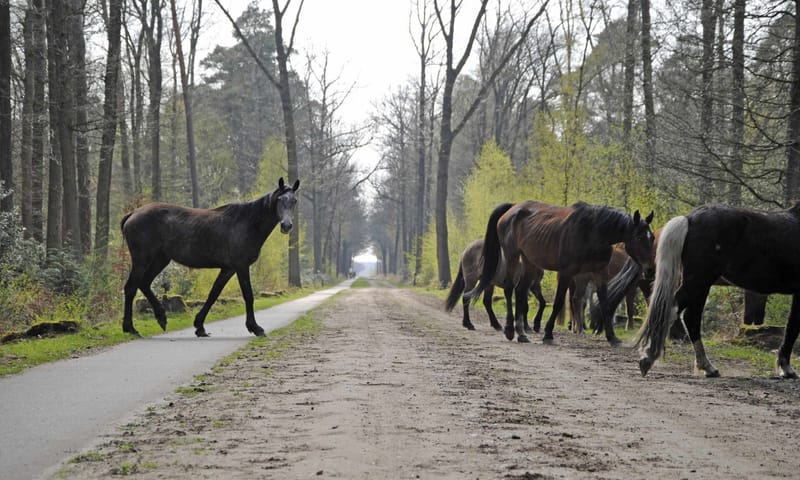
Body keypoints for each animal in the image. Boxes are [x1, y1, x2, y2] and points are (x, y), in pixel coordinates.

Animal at [120, 178, 300, 338]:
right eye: (280, 199)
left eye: (294, 201)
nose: (286, 225)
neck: (248, 223)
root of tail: (133, 213)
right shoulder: (241, 266)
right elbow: (248, 295)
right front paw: (255, 328)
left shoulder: (228, 269)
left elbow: (213, 294)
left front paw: (199, 326)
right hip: (142, 259)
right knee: (131, 287)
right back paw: (131, 328)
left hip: (160, 259)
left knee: (144, 283)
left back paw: (160, 318)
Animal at [468, 201, 654, 345]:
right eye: (639, 237)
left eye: (652, 237)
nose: (651, 270)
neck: (592, 231)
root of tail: (512, 209)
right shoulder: (567, 273)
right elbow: (558, 303)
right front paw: (548, 334)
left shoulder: (599, 273)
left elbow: (605, 304)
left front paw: (612, 337)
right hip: (512, 256)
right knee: (509, 289)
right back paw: (509, 330)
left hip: (529, 261)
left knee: (520, 291)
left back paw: (521, 333)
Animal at [637, 203, 800, 378]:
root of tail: (689, 219)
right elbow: (792, 328)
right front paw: (786, 368)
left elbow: (792, 327)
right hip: (698, 280)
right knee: (673, 310)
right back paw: (648, 357)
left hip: (702, 285)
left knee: (691, 318)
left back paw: (707, 367)